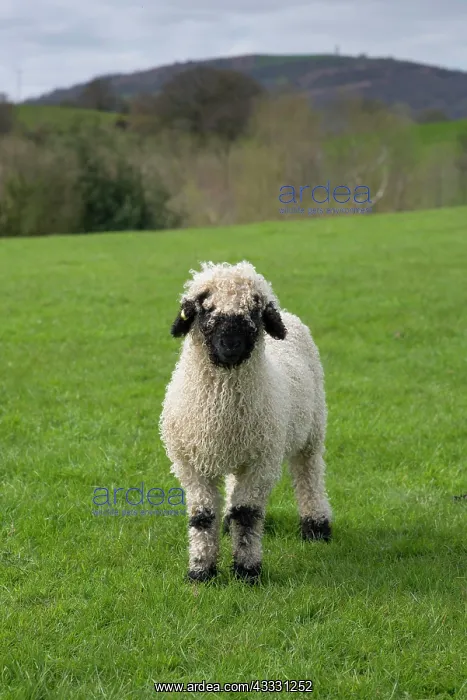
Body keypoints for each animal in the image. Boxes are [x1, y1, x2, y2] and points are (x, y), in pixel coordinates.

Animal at [159, 261, 332, 583]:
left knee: (309, 474)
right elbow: (202, 517)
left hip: (312, 432)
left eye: (254, 311)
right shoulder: (191, 464)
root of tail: (289, 315)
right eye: (205, 309)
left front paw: (247, 571)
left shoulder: (261, 463)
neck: (221, 408)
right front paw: (200, 571)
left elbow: (248, 514)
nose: (231, 345)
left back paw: (317, 526)